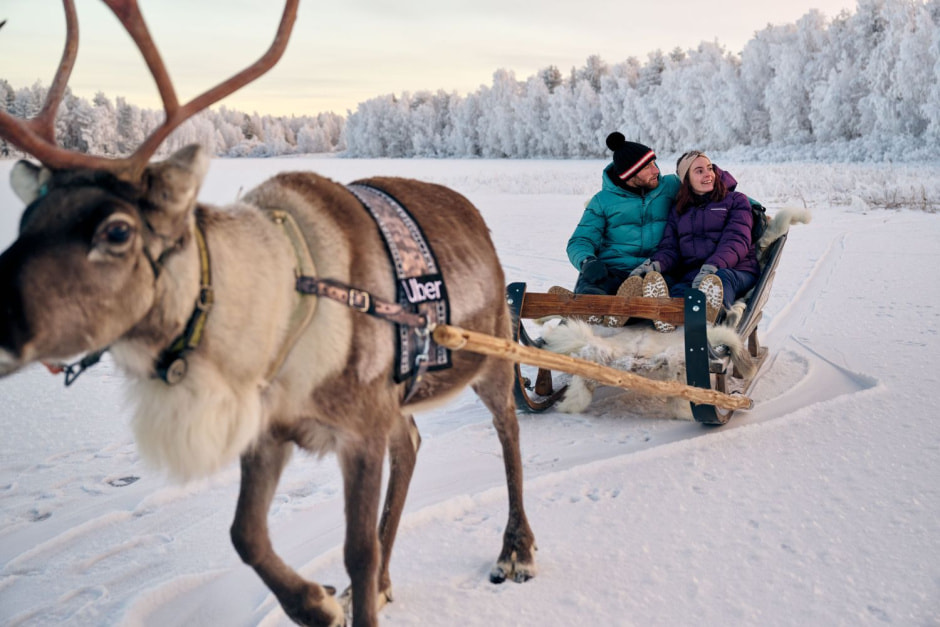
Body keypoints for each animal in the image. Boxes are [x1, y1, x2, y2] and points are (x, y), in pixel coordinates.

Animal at [0, 2, 536, 625]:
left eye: (116, 230)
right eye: (26, 221)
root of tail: (477, 218)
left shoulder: (359, 428)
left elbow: (355, 549)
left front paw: (347, 594)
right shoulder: (274, 430)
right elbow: (245, 535)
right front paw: (319, 603)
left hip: (491, 351)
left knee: (508, 430)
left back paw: (515, 550)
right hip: (400, 397)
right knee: (411, 442)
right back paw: (383, 582)